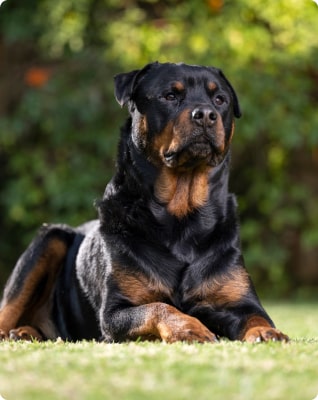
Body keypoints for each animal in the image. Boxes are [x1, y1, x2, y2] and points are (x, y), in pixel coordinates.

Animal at [0, 62, 288, 344]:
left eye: (220, 100)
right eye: (170, 96)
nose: (206, 114)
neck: (183, 219)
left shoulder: (241, 301)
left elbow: (257, 317)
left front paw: (267, 332)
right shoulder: (114, 312)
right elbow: (159, 307)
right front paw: (189, 328)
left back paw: (26, 332)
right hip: (49, 238)